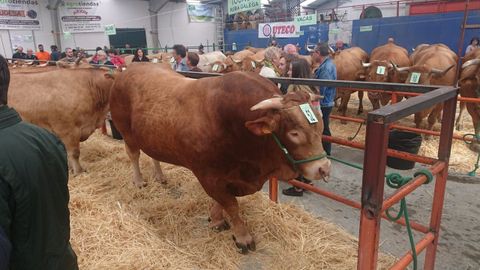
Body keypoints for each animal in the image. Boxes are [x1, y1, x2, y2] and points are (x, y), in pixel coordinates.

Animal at [110, 63, 332, 253]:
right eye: (294, 133)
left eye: (320, 125)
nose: (324, 168)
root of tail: (129, 70)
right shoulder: (208, 175)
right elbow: (231, 205)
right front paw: (242, 237)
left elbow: (221, 201)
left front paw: (216, 218)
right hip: (127, 132)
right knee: (134, 155)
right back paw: (139, 181)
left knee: (152, 155)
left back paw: (160, 176)